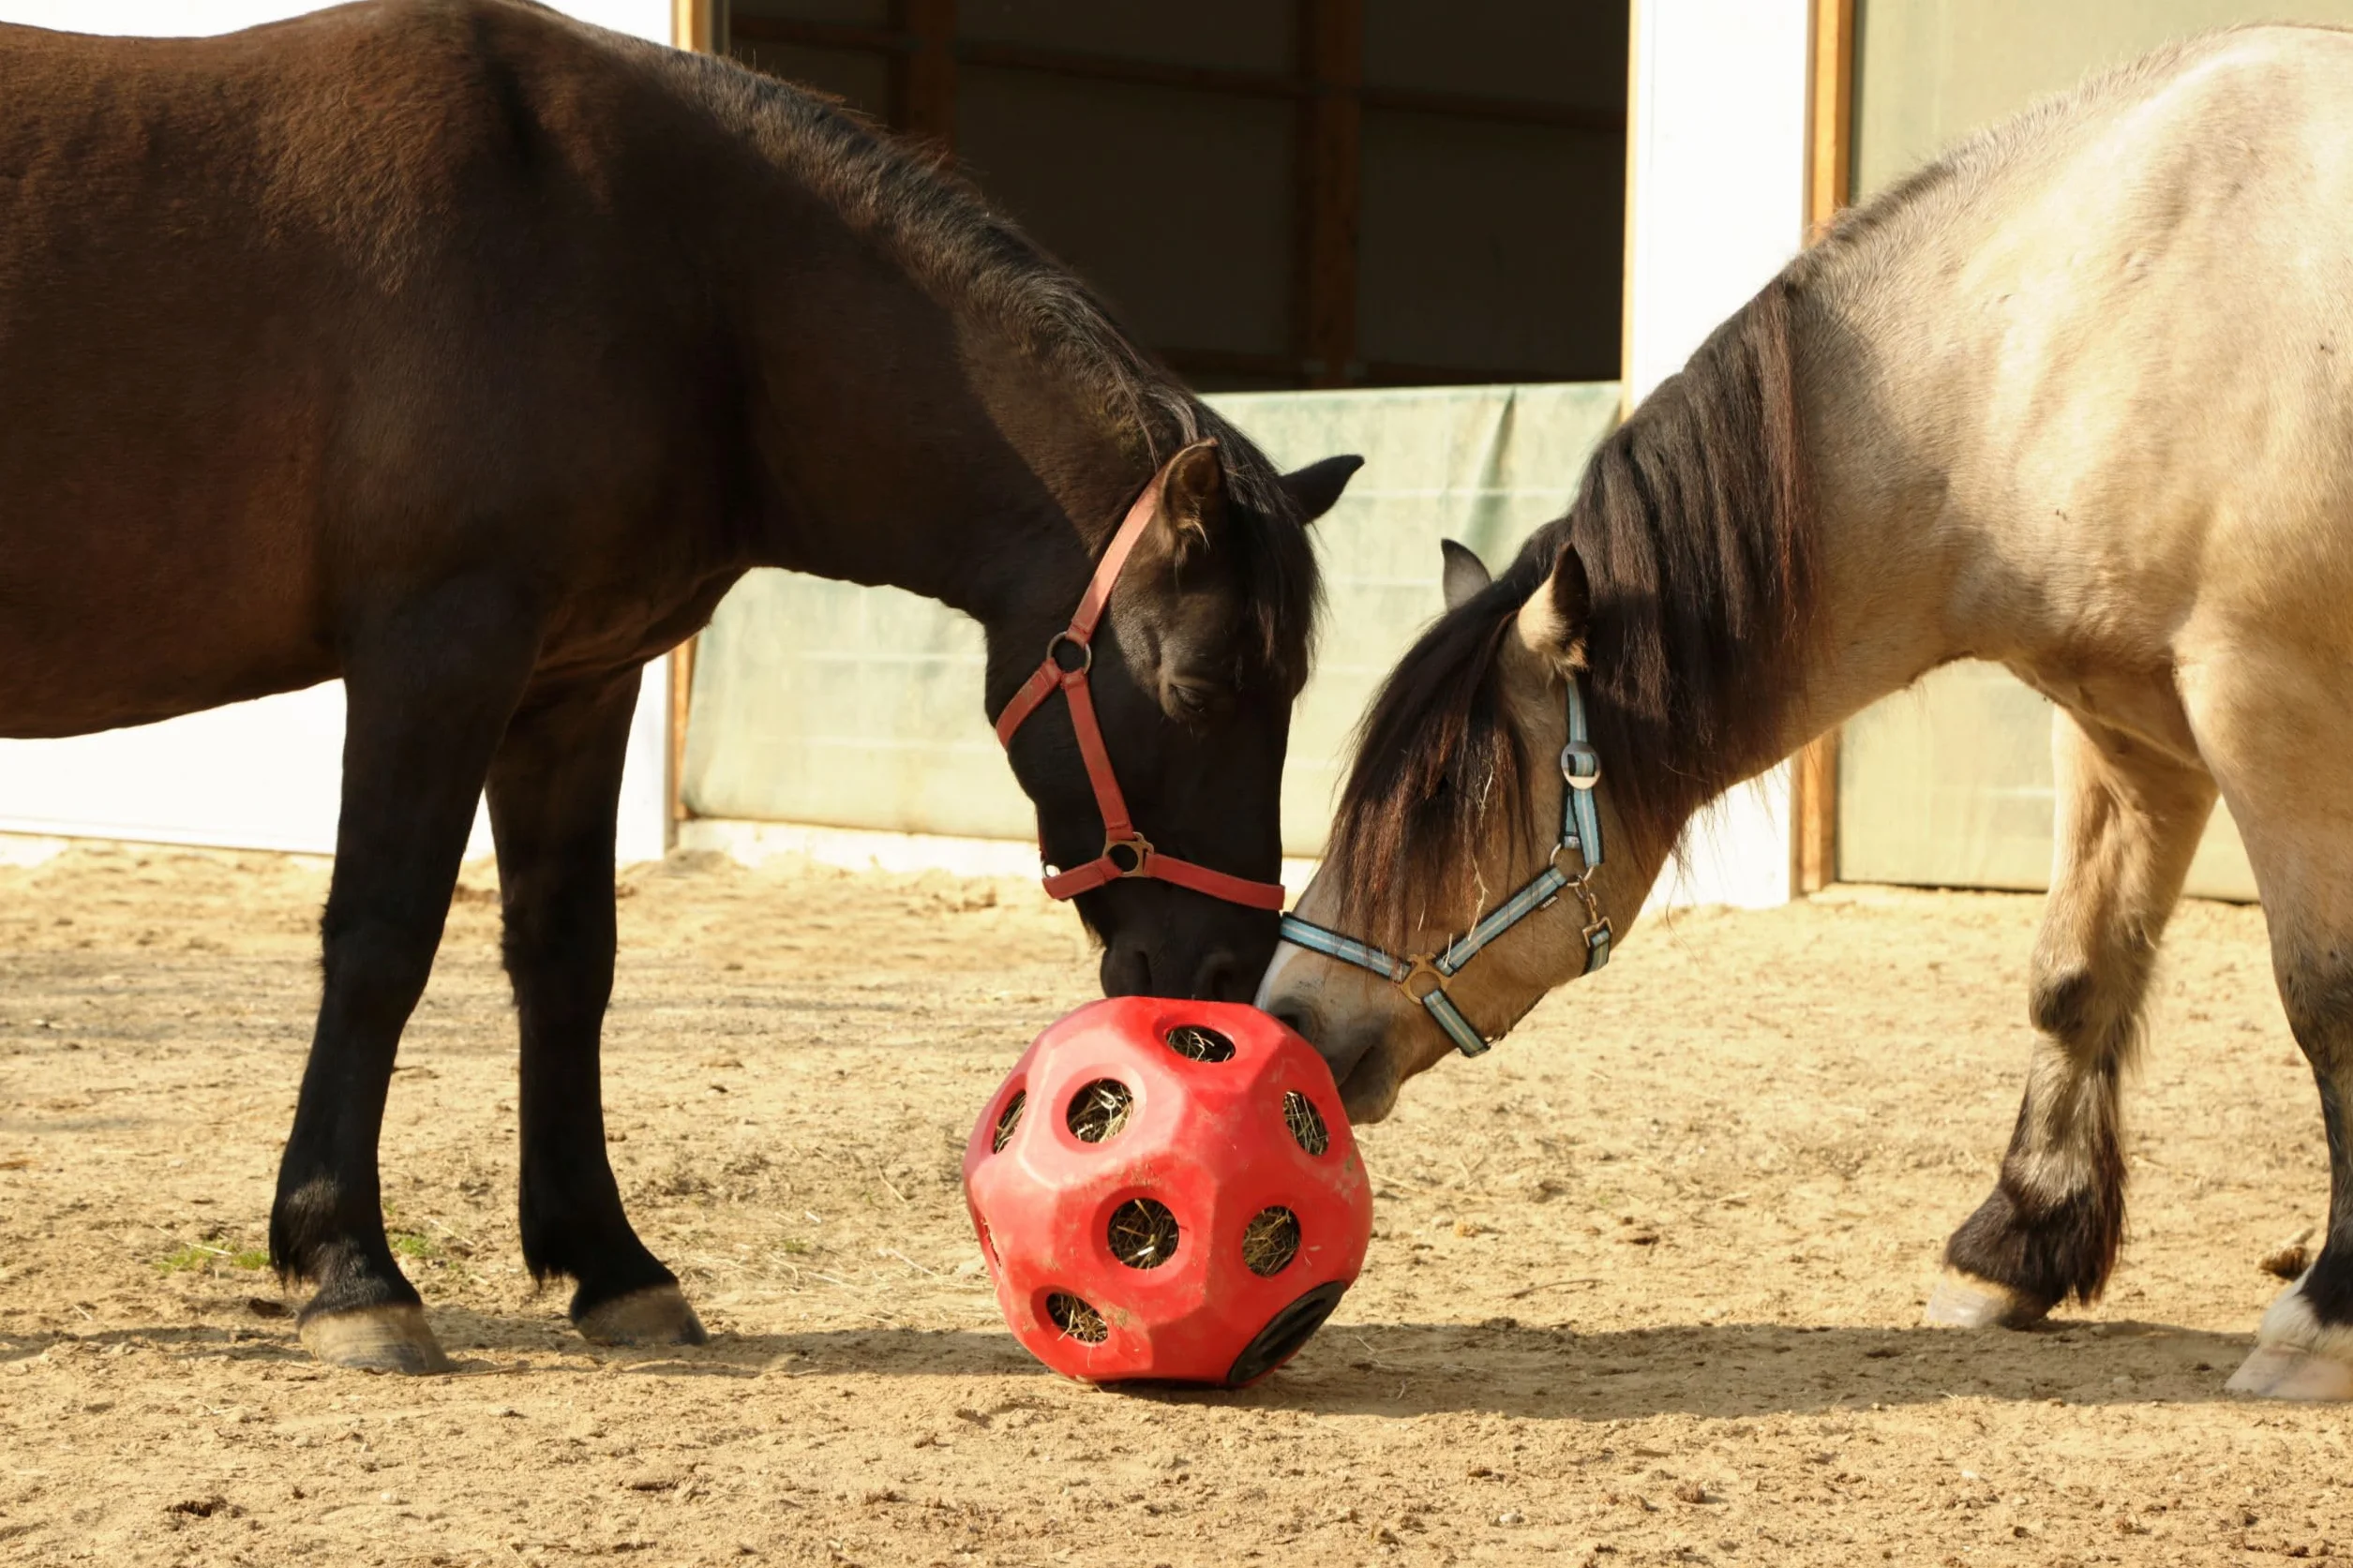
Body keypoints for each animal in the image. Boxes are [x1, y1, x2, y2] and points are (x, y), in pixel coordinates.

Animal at [0, 0, 1359, 1373]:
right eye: (1197, 689)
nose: (1222, 977)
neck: (655, 266)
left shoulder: (574, 683)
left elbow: (567, 956)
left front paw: (610, 1264)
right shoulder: (436, 652)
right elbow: (381, 942)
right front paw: (350, 1268)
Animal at [1262, 24, 2353, 1401]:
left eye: (1451, 798)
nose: (1289, 1016)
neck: (2076, 319)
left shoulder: (2265, 707)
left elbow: (2324, 999)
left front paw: (2322, 1318)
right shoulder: (2126, 731)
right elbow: (2071, 972)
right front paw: (2010, 1247)